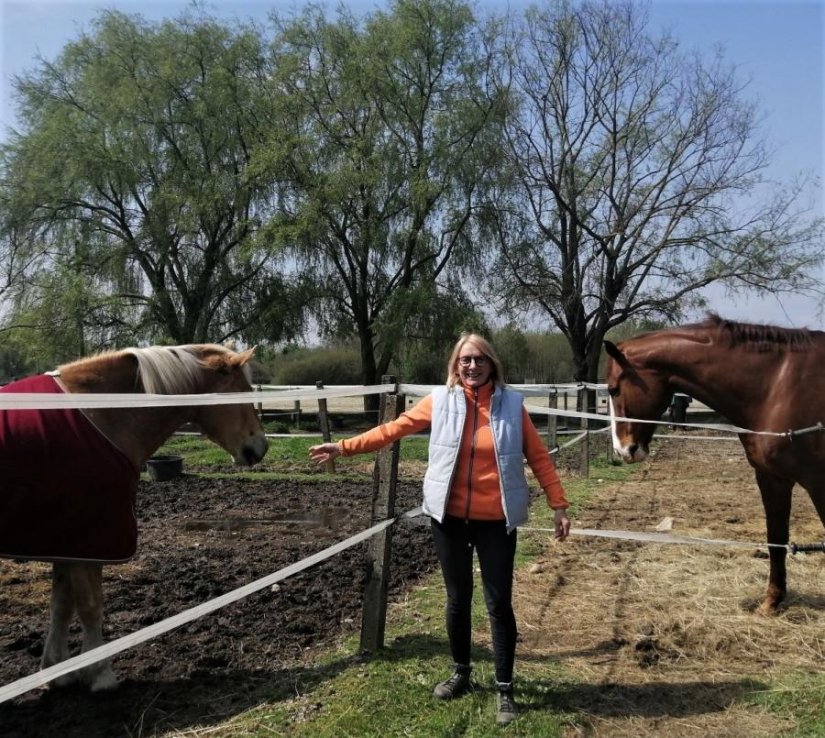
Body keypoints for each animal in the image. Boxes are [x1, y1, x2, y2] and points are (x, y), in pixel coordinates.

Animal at [0, 342, 268, 688]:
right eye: (243, 393)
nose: (260, 447)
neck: (101, 414)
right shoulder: (90, 539)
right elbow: (90, 606)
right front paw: (99, 674)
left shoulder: (67, 541)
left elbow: (60, 605)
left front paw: (57, 672)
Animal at [600, 314, 824, 616]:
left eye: (613, 389)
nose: (622, 450)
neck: (778, 386)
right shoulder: (772, 478)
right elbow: (775, 539)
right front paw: (771, 602)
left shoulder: (818, 483)